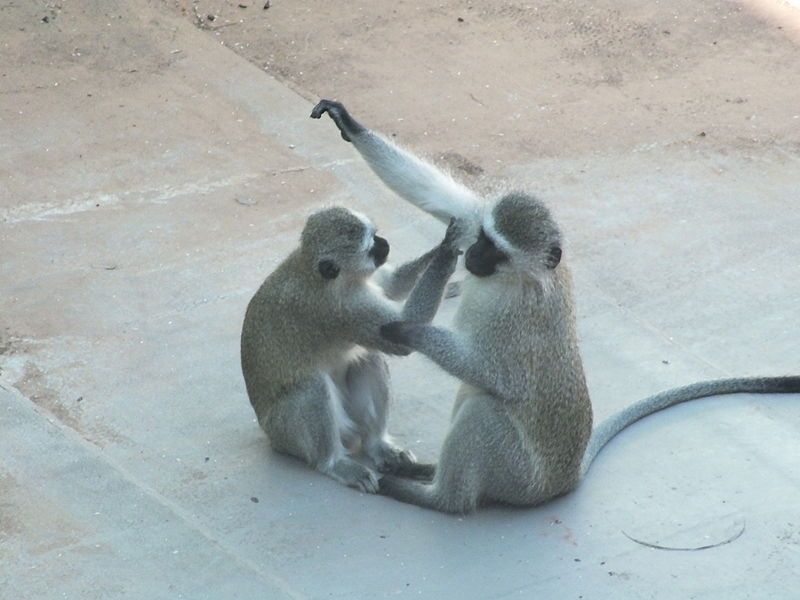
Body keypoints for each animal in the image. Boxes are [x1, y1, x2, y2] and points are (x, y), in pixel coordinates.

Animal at [241, 206, 460, 492]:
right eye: (371, 246)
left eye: (375, 235)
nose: (385, 244)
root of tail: (269, 436)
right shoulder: (342, 309)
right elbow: (402, 332)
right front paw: (446, 253)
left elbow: (394, 286)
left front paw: (443, 245)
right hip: (284, 433)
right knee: (312, 385)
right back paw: (333, 463)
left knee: (367, 359)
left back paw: (377, 445)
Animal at [310, 98, 800, 510]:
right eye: (483, 237)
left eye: (496, 250)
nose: (471, 255)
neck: (515, 279)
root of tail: (562, 481)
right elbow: (446, 201)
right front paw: (349, 123)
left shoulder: (517, 320)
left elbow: (493, 375)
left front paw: (408, 329)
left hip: (515, 472)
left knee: (483, 412)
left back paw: (436, 496)